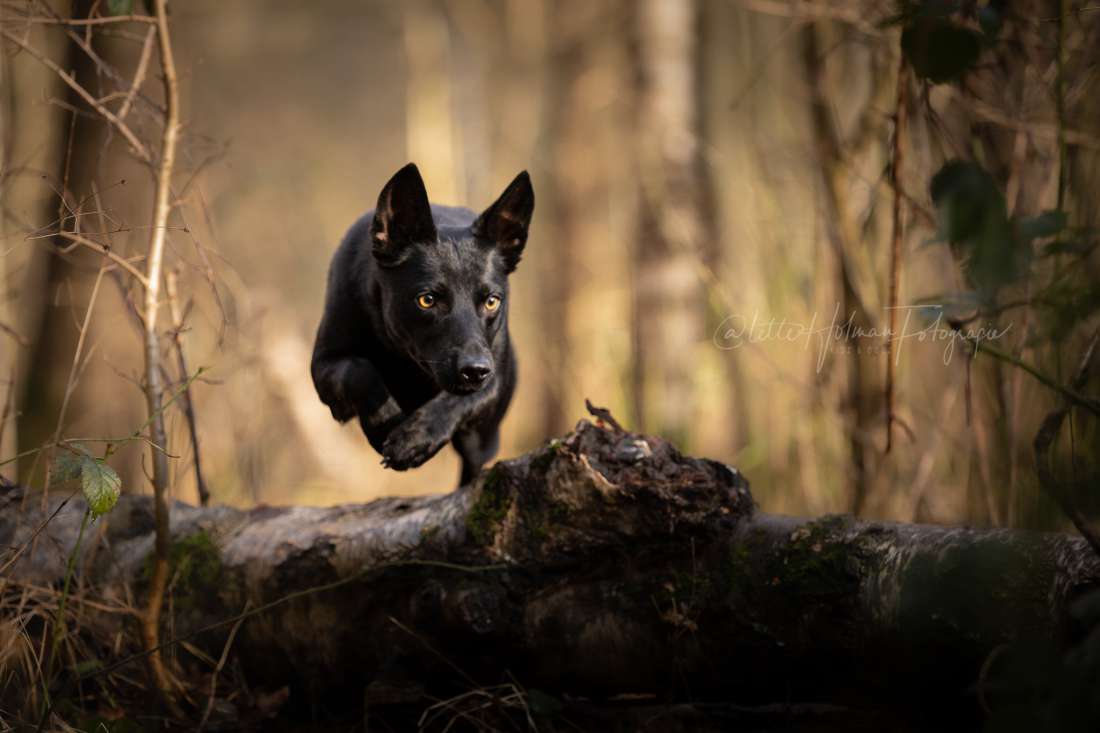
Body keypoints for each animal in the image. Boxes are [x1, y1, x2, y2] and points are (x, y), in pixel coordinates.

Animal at [312, 163, 534, 484]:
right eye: (427, 300)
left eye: (492, 301)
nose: (474, 370)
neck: (406, 360)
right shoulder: (323, 365)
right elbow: (360, 370)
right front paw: (384, 425)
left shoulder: (493, 378)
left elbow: (460, 399)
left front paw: (416, 438)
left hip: (482, 439)